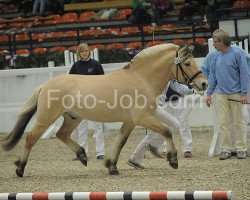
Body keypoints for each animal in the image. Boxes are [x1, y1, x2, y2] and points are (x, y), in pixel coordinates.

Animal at [1, 43, 207, 177]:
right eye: (187, 63)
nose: (203, 83)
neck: (141, 79)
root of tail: (45, 85)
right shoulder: (143, 118)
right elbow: (166, 131)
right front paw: (173, 160)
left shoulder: (130, 121)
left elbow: (121, 141)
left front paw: (111, 166)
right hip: (47, 118)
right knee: (31, 138)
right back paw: (20, 168)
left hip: (72, 117)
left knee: (61, 134)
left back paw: (82, 155)